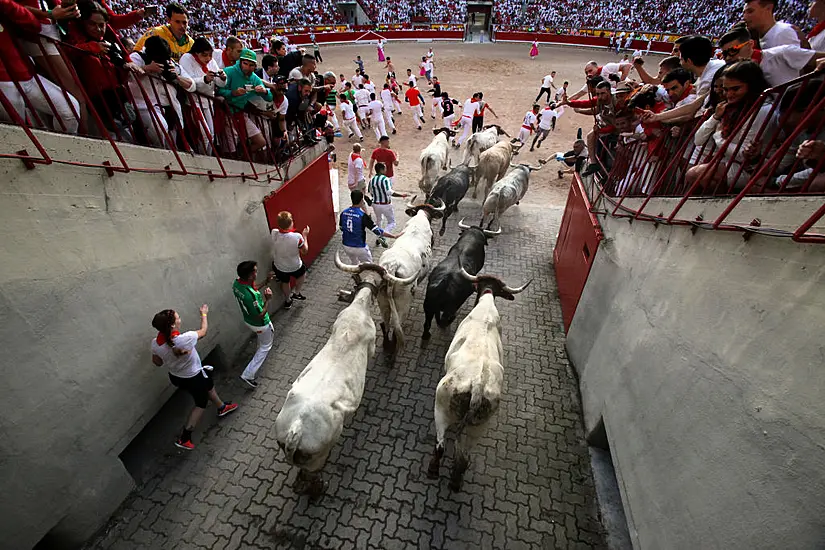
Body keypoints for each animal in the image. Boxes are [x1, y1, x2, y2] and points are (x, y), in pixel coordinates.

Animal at [428, 270, 532, 494]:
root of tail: (477, 386)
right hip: (479, 427)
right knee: (464, 458)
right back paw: (455, 483)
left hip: (441, 407)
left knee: (441, 446)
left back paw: (433, 471)